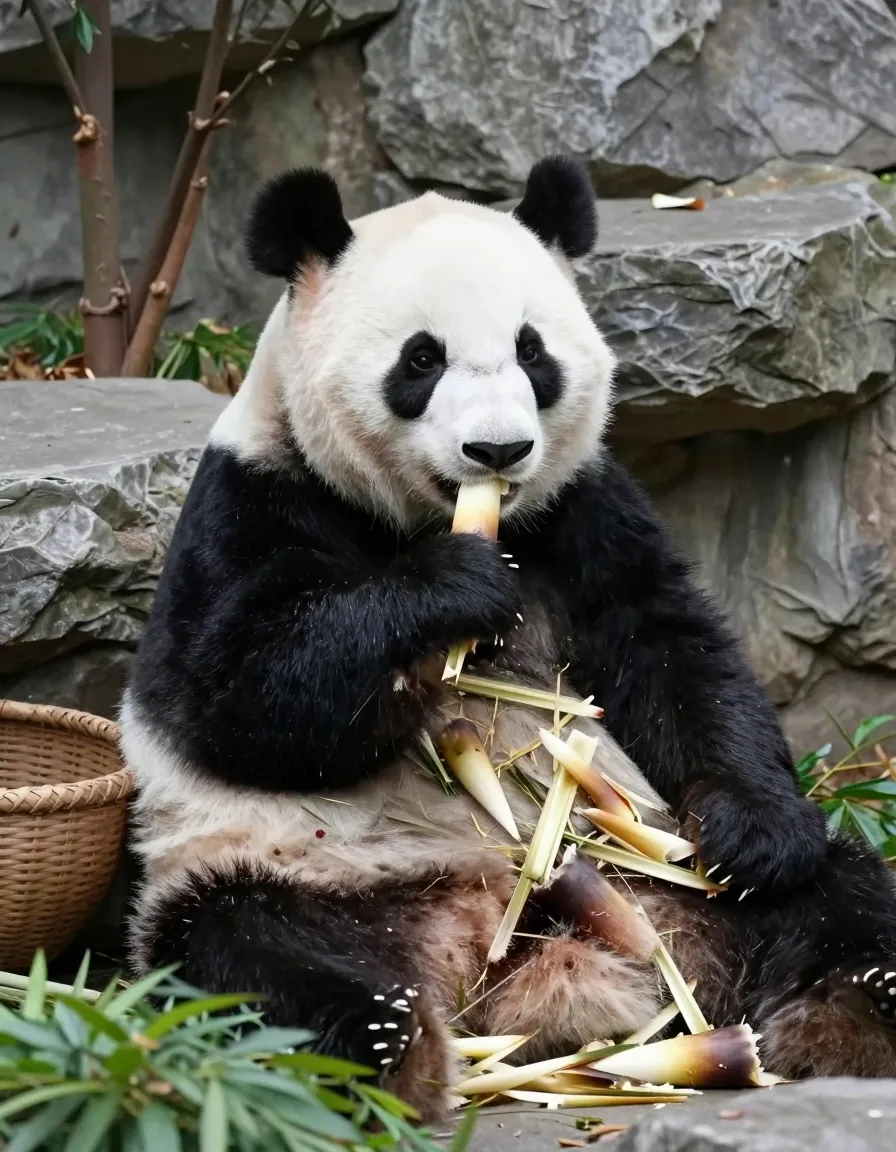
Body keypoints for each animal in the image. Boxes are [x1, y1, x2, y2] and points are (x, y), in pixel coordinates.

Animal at [120, 156, 896, 1122]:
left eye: (533, 351)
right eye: (421, 359)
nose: (498, 450)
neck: (430, 515)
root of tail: (491, 942)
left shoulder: (584, 508)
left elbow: (671, 651)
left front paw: (750, 831)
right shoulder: (252, 502)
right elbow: (241, 696)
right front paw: (453, 590)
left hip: (655, 873)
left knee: (838, 895)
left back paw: (854, 1008)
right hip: (273, 876)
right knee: (246, 959)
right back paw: (377, 1047)